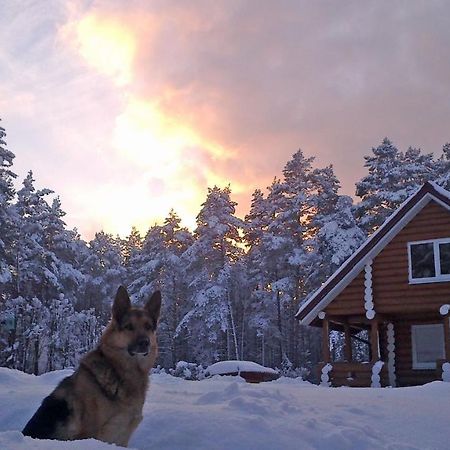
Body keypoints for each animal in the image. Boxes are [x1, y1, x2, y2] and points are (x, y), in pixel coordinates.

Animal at [22, 286, 162, 448]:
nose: (145, 342)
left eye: (148, 327)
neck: (121, 372)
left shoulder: (122, 439)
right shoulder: (90, 434)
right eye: (129, 327)